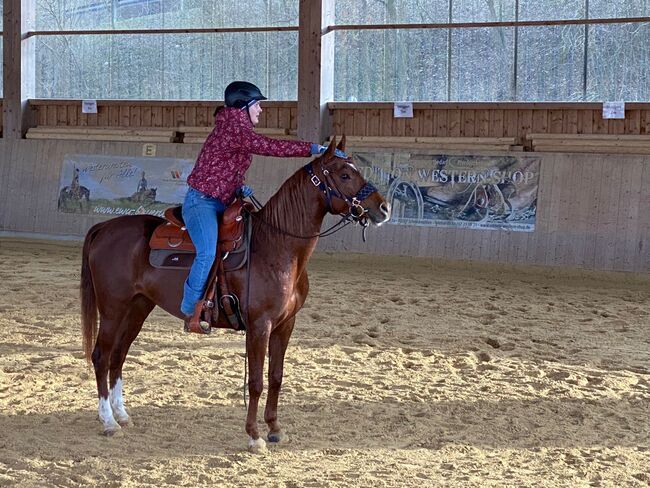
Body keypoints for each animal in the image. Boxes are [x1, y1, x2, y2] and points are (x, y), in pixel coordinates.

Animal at [78, 136, 388, 450]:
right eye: (345, 174)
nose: (384, 207)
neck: (275, 245)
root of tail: (104, 227)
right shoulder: (259, 325)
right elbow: (256, 382)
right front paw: (254, 435)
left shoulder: (285, 325)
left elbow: (276, 376)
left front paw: (275, 428)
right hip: (113, 308)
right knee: (101, 356)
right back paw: (108, 422)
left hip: (138, 308)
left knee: (118, 355)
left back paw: (122, 415)